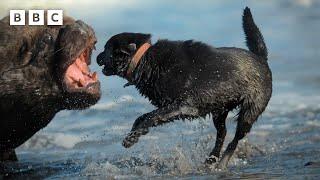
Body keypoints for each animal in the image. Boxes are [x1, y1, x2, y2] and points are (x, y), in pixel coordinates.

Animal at [97, 6, 270, 168]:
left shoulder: (183, 106)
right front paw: (135, 134)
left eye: (105, 49)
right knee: (222, 133)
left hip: (249, 112)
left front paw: (132, 138)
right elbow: (142, 117)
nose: (97, 56)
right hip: (219, 108)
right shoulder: (168, 105)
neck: (145, 60)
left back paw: (222, 162)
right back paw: (211, 159)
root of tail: (261, 58)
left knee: (236, 138)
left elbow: (151, 117)